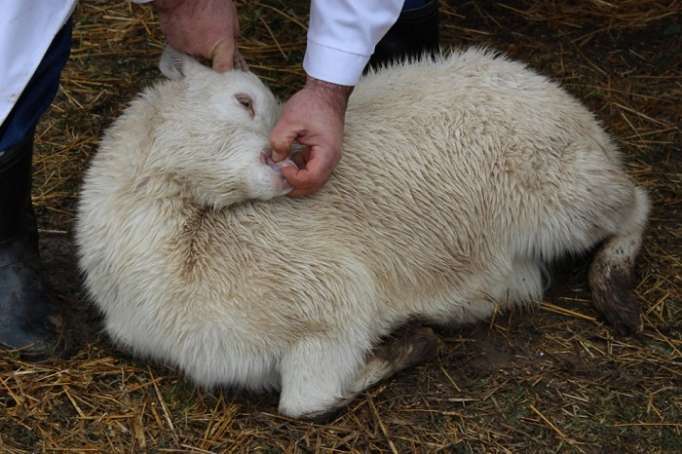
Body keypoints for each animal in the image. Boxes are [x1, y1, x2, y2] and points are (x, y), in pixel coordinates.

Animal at [74, 48, 648, 420]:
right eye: (243, 102)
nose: (290, 165)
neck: (184, 248)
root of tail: (580, 116)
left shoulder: (333, 297)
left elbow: (304, 402)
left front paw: (411, 343)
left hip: (562, 192)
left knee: (636, 201)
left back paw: (615, 290)